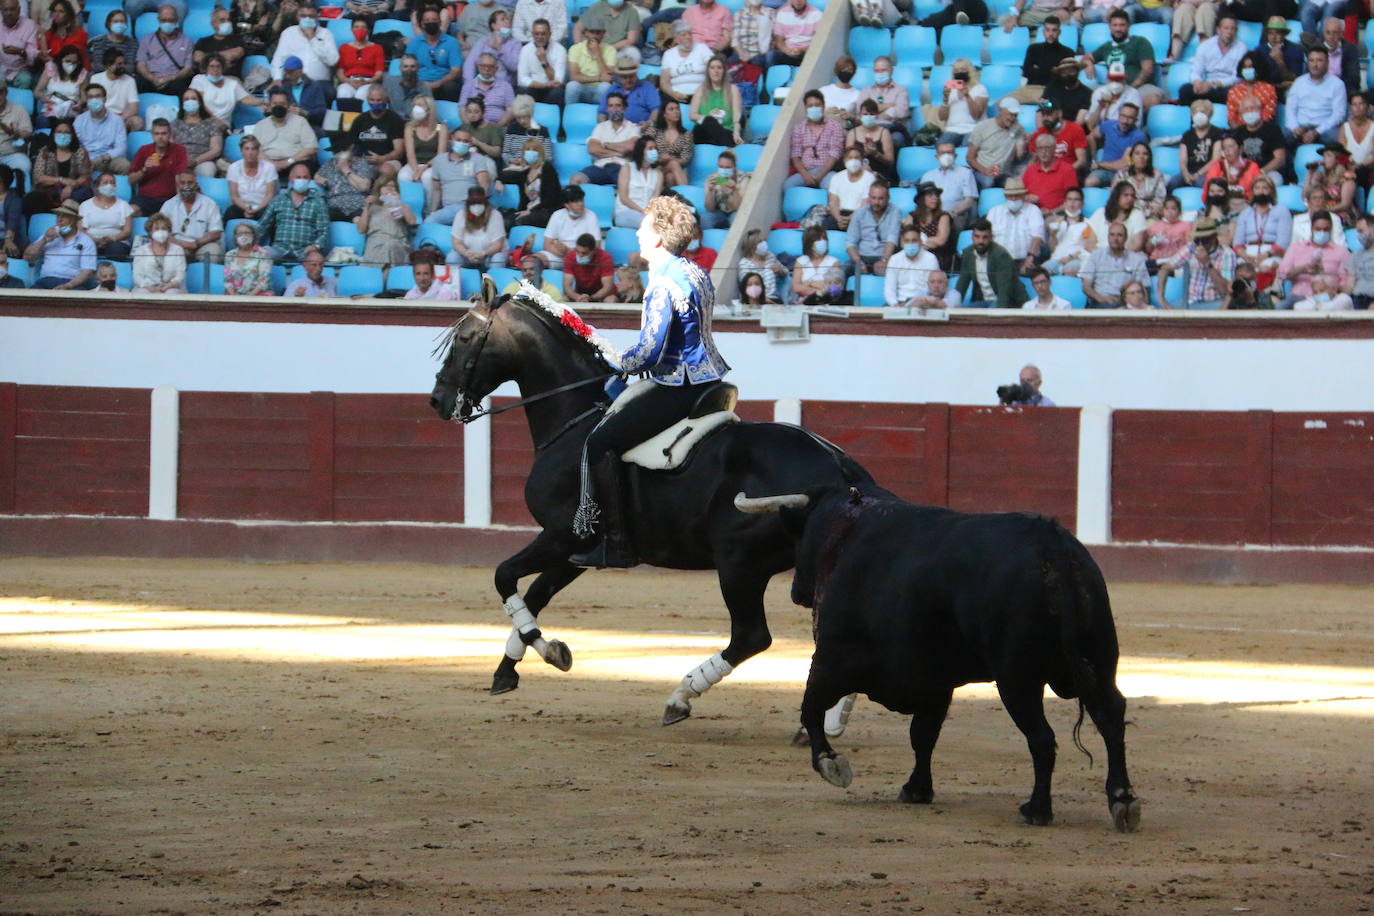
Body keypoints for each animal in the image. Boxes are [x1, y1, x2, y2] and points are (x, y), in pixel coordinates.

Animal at [747, 486, 1143, 829]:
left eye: (799, 539)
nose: (796, 590)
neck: (846, 535)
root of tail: (1054, 546)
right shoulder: (934, 681)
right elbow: (923, 734)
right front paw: (917, 789)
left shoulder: (832, 659)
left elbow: (810, 708)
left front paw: (831, 764)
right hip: (1099, 660)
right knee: (1111, 717)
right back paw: (1122, 799)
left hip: (1017, 678)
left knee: (1042, 737)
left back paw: (1037, 809)